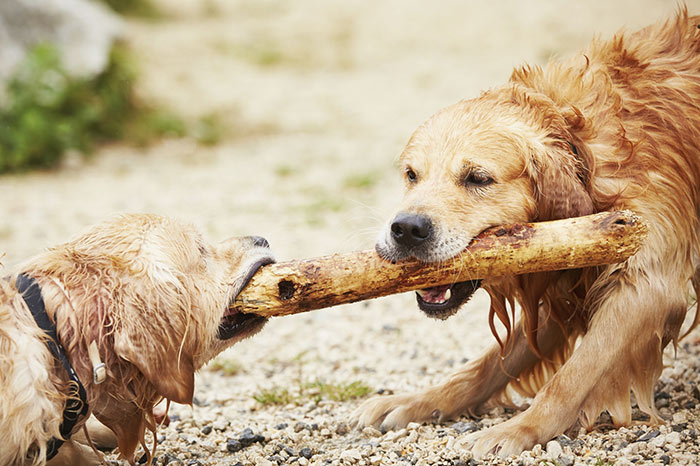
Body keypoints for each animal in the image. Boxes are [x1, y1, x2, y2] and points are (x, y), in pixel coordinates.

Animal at [352, 7, 700, 456]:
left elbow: (571, 378)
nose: (406, 229)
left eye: (477, 178)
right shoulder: (566, 282)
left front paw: (516, 430)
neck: (584, 148)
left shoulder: (647, 285)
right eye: (412, 175)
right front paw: (421, 401)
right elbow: (487, 366)